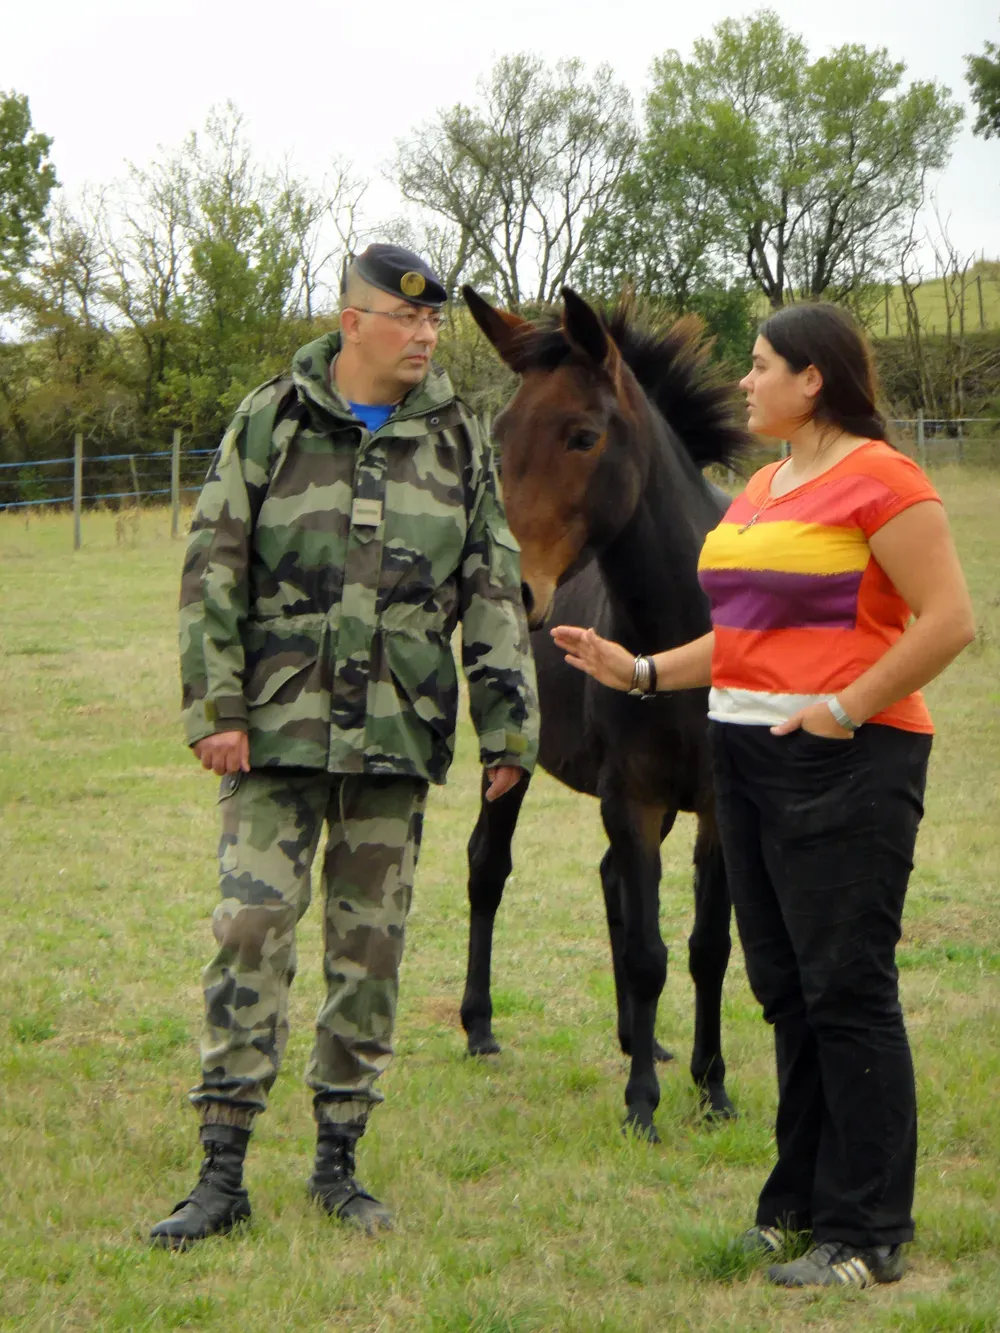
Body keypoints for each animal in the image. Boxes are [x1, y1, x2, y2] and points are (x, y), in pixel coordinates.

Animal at [458, 286, 746, 1141]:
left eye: (582, 435)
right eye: (500, 437)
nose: (512, 586)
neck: (677, 632)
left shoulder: (714, 805)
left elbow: (706, 947)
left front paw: (711, 1087)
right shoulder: (633, 797)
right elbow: (650, 952)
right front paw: (643, 1103)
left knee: (613, 880)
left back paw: (637, 1039)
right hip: (509, 764)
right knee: (488, 866)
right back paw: (480, 1025)